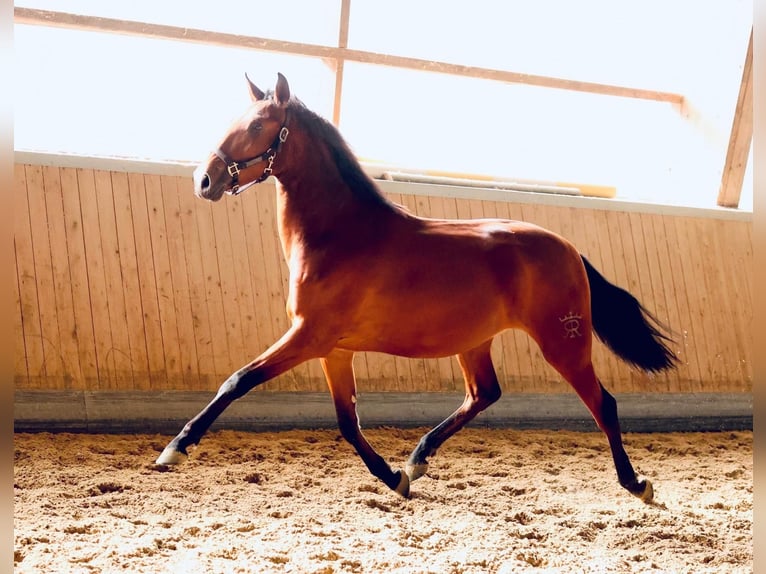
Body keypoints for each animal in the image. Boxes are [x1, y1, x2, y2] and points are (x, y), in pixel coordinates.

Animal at [156, 73, 677, 502]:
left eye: (258, 125)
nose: (205, 180)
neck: (340, 234)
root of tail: (567, 247)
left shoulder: (309, 336)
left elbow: (237, 380)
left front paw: (176, 449)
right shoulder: (334, 349)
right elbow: (347, 420)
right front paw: (394, 478)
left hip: (563, 343)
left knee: (602, 403)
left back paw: (636, 483)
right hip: (475, 341)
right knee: (483, 394)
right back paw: (418, 458)